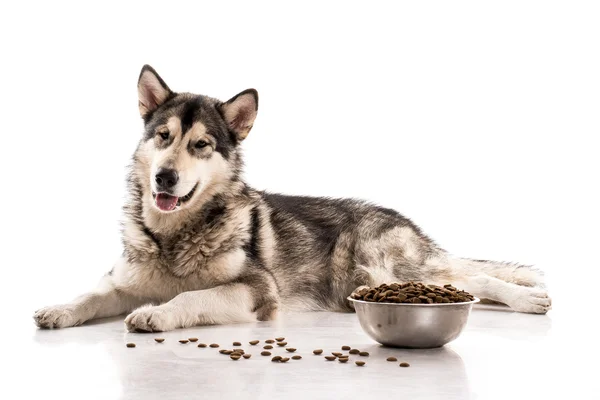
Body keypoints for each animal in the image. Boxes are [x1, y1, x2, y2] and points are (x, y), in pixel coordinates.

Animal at [34, 66, 552, 332]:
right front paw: (60, 308)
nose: (165, 177)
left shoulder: (255, 291)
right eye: (163, 136)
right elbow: (90, 294)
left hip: (393, 269)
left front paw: (158, 313)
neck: (173, 237)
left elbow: (190, 296)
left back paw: (527, 299)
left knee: (474, 278)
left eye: (201, 145)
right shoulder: (123, 282)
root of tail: (404, 220)